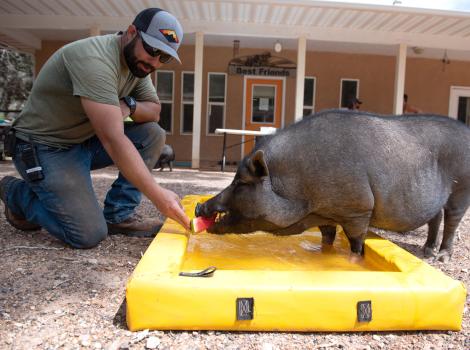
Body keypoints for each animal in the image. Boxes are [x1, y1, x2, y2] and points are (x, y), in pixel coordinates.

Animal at [196, 110, 470, 262]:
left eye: (241, 182)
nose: (199, 207)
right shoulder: (325, 214)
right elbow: (327, 237)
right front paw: (320, 253)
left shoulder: (358, 210)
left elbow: (357, 243)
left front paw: (353, 260)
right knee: (435, 218)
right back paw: (426, 251)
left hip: (461, 190)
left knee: (452, 220)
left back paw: (442, 257)